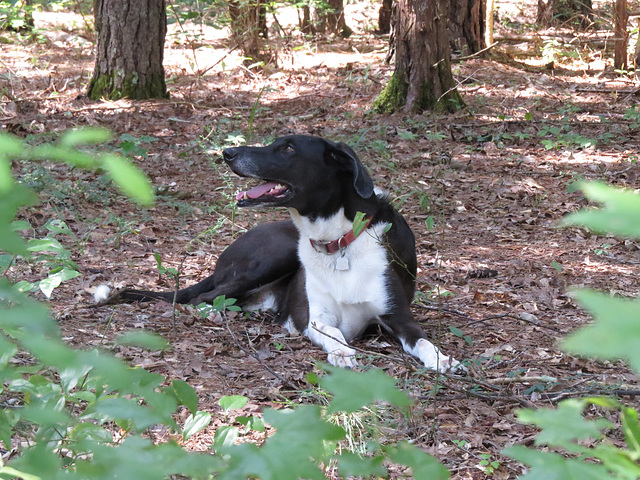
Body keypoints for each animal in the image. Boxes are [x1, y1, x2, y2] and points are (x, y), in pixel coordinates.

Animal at [116, 135, 460, 372]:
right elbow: (332, 332)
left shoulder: (399, 317)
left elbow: (424, 340)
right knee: (203, 297)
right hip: (274, 257)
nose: (227, 153)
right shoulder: (313, 317)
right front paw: (342, 352)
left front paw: (443, 359)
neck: (339, 243)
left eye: (289, 148)